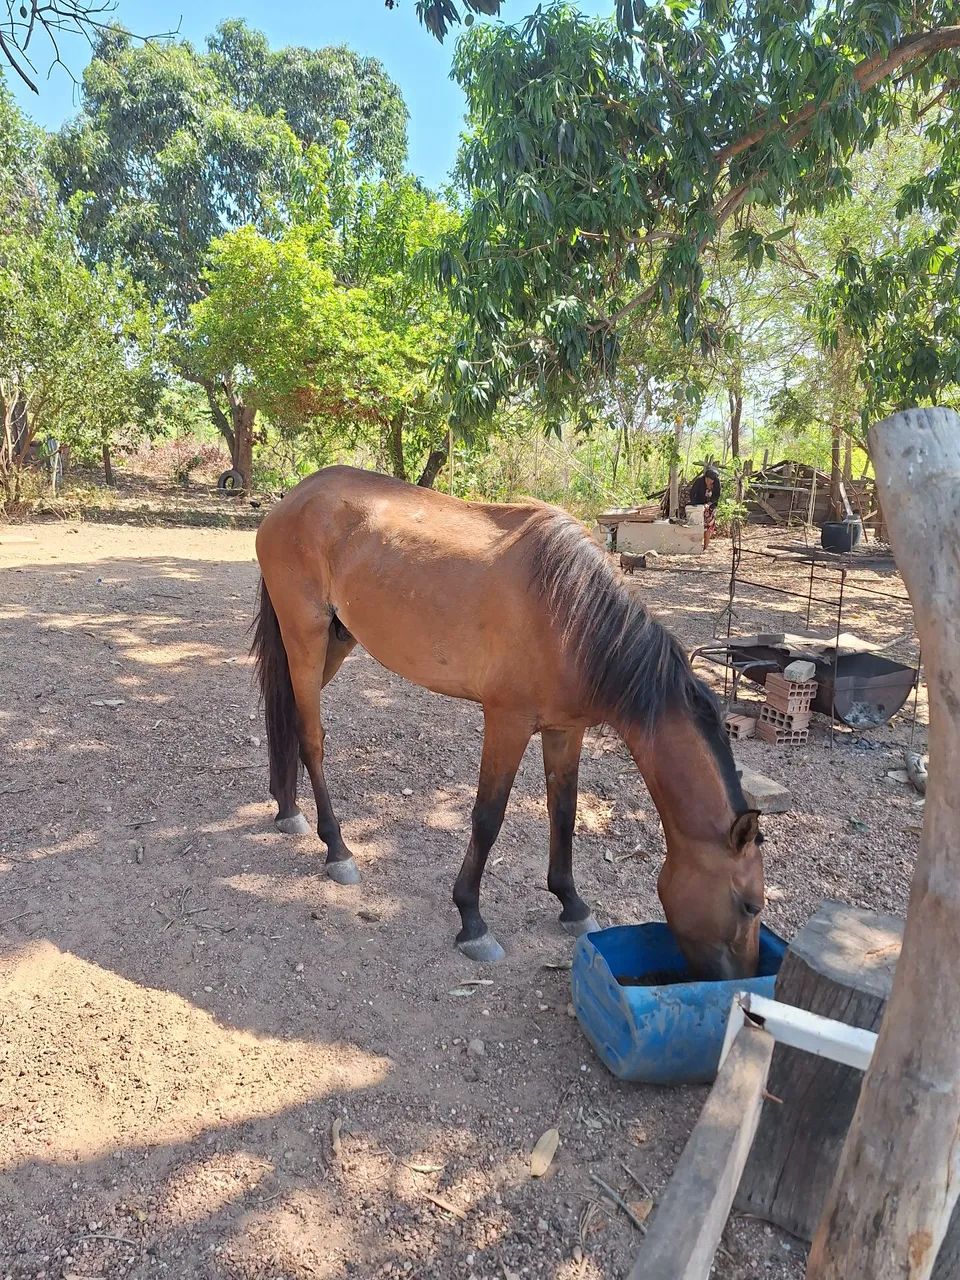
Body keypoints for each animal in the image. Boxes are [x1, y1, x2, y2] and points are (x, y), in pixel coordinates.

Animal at [251, 466, 765, 979]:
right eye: (749, 905)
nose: (741, 980)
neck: (573, 618)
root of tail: (294, 498)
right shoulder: (507, 723)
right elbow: (487, 817)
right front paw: (472, 922)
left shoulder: (565, 730)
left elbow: (564, 812)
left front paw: (571, 903)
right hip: (306, 636)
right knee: (311, 737)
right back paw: (337, 849)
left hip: (335, 642)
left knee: (287, 716)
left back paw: (287, 809)